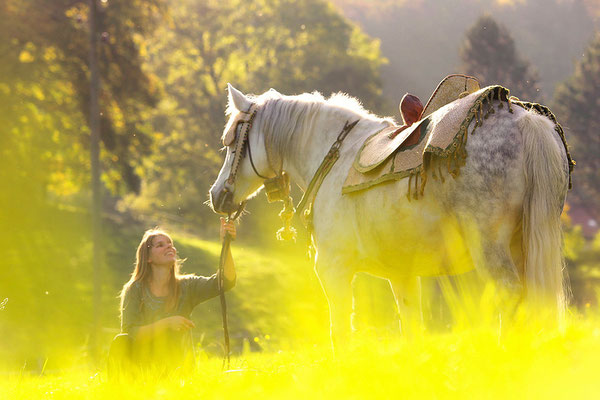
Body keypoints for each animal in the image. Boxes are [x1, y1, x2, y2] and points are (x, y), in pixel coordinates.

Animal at [211, 83, 572, 346]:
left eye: (231, 141)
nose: (217, 196)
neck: (332, 156)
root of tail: (526, 120)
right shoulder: (403, 276)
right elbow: (412, 330)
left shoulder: (334, 270)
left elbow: (340, 333)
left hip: (491, 248)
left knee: (510, 297)